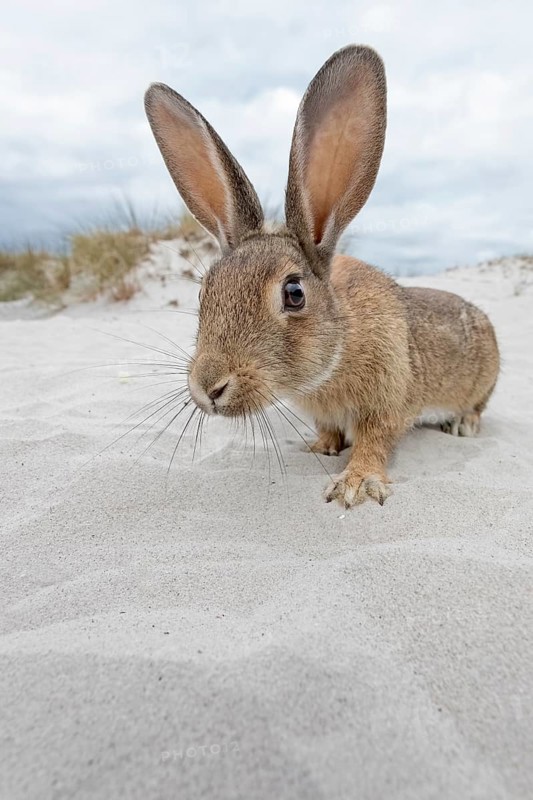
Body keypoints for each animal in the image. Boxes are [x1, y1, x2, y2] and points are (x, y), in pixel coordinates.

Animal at [144, 44, 499, 508]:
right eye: (204, 292)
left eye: (294, 292)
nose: (208, 388)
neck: (339, 346)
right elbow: (330, 431)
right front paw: (319, 448)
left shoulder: (386, 403)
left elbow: (373, 441)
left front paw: (356, 484)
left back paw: (462, 425)